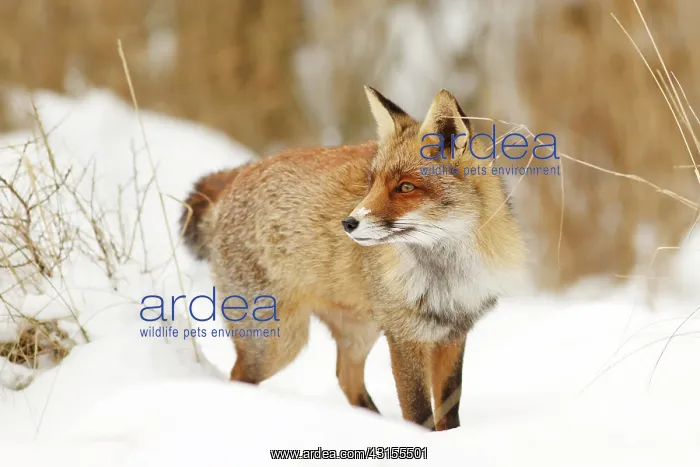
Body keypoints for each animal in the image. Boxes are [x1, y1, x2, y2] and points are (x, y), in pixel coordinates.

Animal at [180, 87, 525, 431]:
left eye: (406, 187)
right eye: (372, 182)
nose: (348, 223)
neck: (445, 277)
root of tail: (238, 175)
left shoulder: (453, 334)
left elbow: (449, 413)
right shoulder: (404, 336)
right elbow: (417, 412)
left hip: (358, 333)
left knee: (346, 378)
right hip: (276, 343)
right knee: (241, 375)